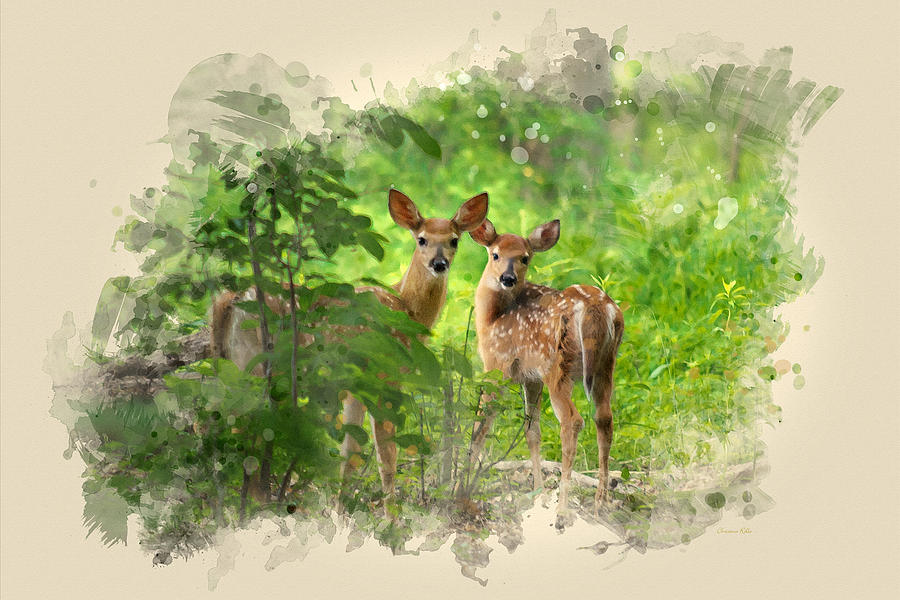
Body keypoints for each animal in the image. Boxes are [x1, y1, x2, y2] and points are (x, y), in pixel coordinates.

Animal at [210, 188, 489, 505]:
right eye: (422, 239)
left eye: (454, 240)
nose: (439, 264)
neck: (406, 308)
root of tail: (230, 300)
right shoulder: (383, 378)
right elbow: (387, 457)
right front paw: (391, 513)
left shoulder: (356, 389)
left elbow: (350, 456)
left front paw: (341, 508)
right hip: (258, 366)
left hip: (231, 364)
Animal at [468, 217, 624, 528]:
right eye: (495, 254)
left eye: (525, 257)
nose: (507, 278)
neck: (493, 318)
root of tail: (597, 309)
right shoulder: (531, 378)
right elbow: (532, 432)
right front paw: (537, 495)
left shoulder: (496, 366)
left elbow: (480, 427)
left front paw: (459, 487)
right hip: (605, 365)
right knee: (604, 418)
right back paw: (601, 503)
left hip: (558, 366)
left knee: (573, 421)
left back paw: (562, 510)